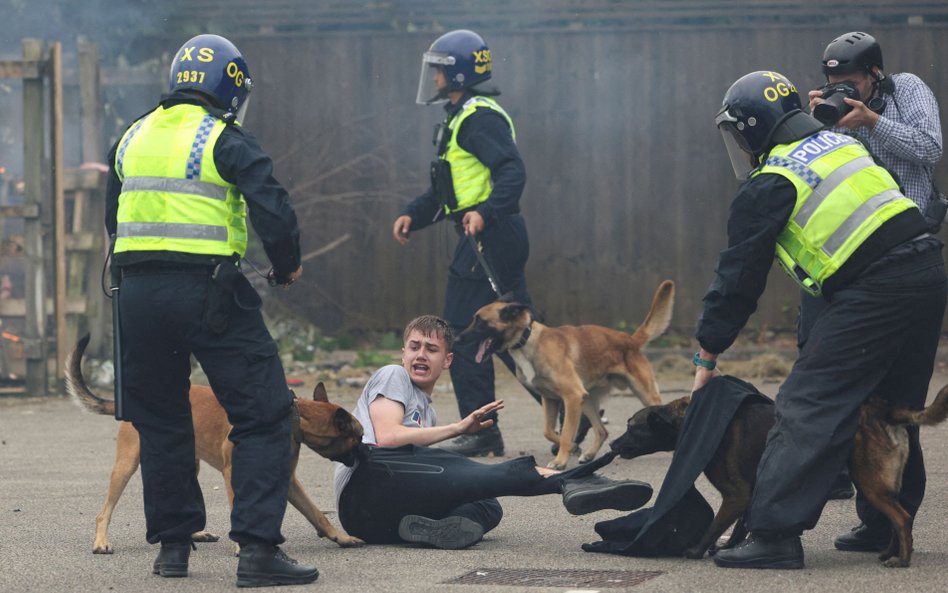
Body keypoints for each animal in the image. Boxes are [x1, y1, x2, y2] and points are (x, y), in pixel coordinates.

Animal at [66, 336, 366, 552]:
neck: (292, 415)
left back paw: (194, 532)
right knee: (104, 511)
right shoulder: (234, 474)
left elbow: (317, 513)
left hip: (188, 464)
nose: (366, 454)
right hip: (126, 464)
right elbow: (239, 510)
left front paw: (340, 537)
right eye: (359, 437)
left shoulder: (289, 481)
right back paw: (101, 542)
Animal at [460, 278, 672, 468]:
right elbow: (549, 431)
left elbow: (565, 433)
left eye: (480, 322)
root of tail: (631, 340)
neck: (528, 340)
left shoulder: (571, 396)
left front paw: (560, 461)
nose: (457, 337)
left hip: (643, 394)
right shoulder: (551, 399)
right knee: (602, 431)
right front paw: (572, 447)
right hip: (587, 400)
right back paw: (589, 454)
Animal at [608, 386, 948, 568]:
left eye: (631, 428)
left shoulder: (736, 495)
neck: (687, 418)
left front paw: (696, 551)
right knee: (900, 516)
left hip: (870, 483)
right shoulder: (750, 493)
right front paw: (729, 548)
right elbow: (741, 526)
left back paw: (902, 559)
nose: (611, 445)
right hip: (881, 484)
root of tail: (884, 409)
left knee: (902, 518)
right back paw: (891, 551)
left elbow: (715, 526)